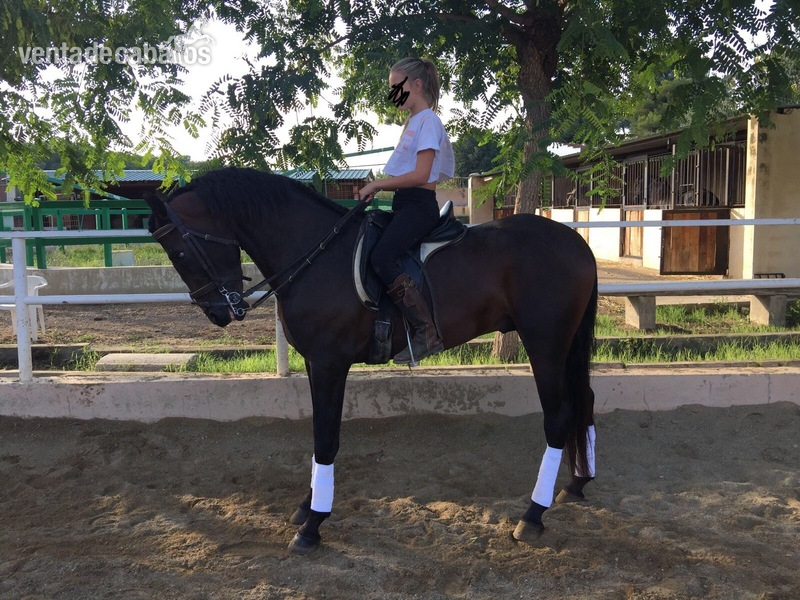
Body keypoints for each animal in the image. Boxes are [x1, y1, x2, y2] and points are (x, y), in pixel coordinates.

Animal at [145, 167, 599, 554]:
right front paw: (308, 506)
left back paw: (532, 516)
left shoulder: (330, 361)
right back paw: (577, 483)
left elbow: (326, 438)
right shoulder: (315, 363)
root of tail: (575, 242)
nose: (219, 314)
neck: (315, 254)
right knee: (585, 401)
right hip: (564, 343)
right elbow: (319, 433)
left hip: (545, 342)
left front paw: (312, 526)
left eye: (180, 252)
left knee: (559, 416)